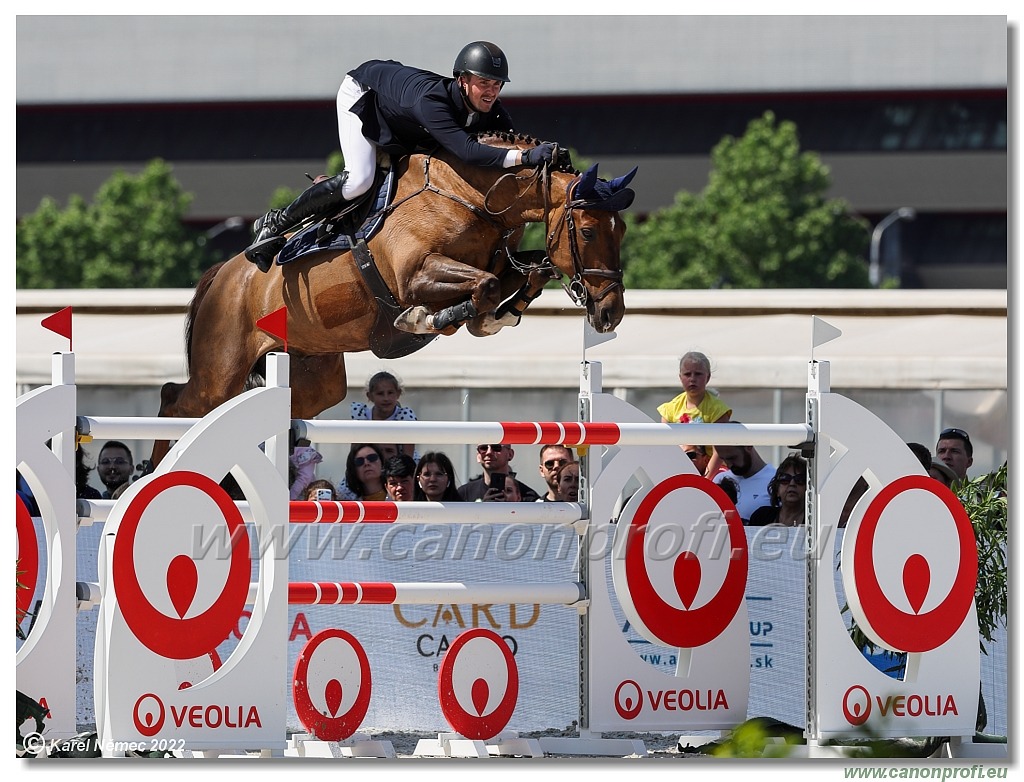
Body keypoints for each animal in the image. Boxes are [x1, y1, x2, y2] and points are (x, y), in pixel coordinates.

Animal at [149, 131, 634, 466]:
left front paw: (495, 317)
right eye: (588, 232)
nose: (610, 314)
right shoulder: (414, 275)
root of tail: (223, 273)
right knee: (178, 400)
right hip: (221, 370)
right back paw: (152, 473)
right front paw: (428, 319)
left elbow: (524, 274)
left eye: (622, 230)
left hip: (314, 377)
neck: (472, 196)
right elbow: (483, 287)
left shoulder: (501, 259)